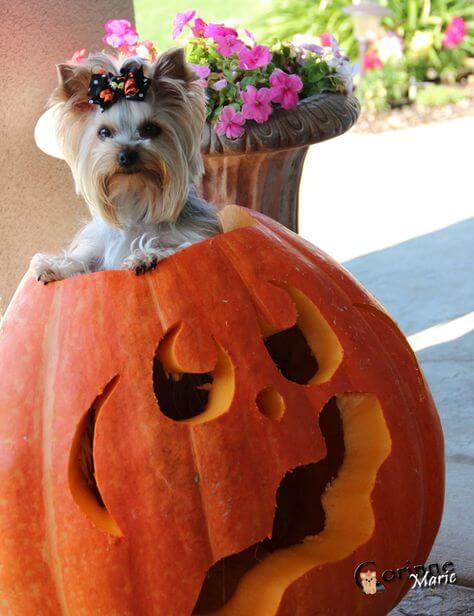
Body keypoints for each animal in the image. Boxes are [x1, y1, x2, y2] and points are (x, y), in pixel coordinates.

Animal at [31, 49, 220, 282]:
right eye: (104, 132)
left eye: (150, 129)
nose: (126, 155)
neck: (134, 199)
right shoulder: (97, 247)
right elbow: (83, 260)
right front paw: (53, 266)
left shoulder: (197, 237)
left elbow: (176, 247)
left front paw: (146, 255)